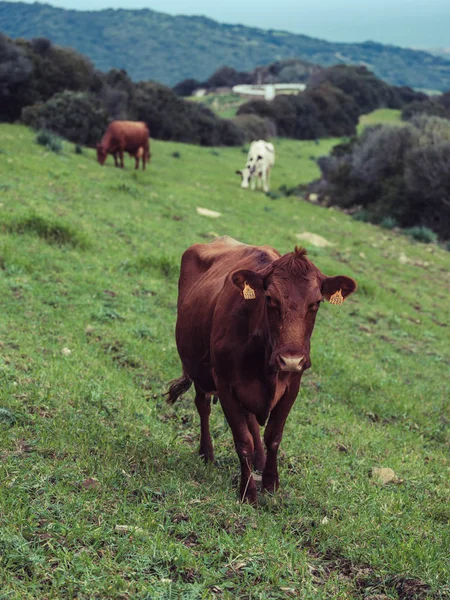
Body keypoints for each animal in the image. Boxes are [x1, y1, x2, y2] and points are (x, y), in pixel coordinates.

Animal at [167, 237, 356, 504]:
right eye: (269, 299)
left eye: (317, 302)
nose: (291, 359)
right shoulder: (225, 384)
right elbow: (242, 440)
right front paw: (248, 492)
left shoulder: (292, 386)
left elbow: (273, 436)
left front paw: (270, 482)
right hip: (198, 369)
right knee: (203, 405)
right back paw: (207, 453)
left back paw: (259, 460)